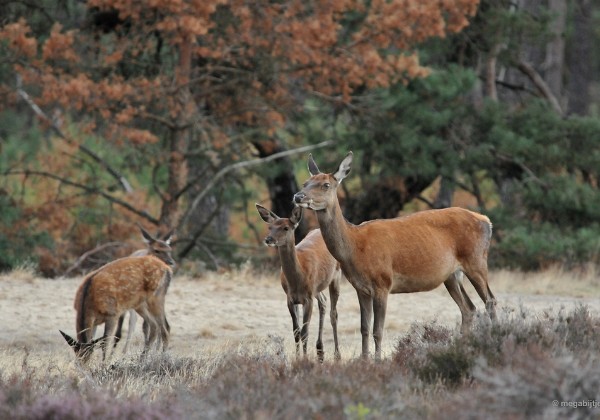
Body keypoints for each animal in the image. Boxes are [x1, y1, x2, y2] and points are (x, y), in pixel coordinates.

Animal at [60, 226, 173, 360]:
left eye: (87, 357)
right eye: (77, 357)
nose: (83, 365)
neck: (89, 301)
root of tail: (167, 269)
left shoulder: (112, 314)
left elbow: (105, 343)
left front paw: (104, 363)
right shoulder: (94, 320)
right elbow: (94, 339)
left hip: (156, 297)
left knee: (165, 328)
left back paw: (161, 358)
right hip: (140, 305)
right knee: (154, 326)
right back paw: (142, 359)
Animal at [256, 203, 342, 360]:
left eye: (286, 227)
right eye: (270, 227)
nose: (268, 239)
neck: (298, 278)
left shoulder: (308, 298)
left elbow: (305, 332)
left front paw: (305, 359)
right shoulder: (291, 298)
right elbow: (296, 331)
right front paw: (297, 358)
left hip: (336, 275)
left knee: (334, 314)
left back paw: (337, 355)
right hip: (316, 288)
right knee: (323, 301)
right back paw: (320, 349)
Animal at [292, 153, 496, 360]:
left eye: (325, 184)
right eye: (305, 182)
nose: (298, 196)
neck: (355, 248)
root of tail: (487, 221)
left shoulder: (383, 283)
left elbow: (377, 330)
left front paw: (378, 361)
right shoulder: (360, 288)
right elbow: (364, 329)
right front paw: (364, 360)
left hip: (476, 260)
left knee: (490, 301)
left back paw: (495, 341)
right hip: (452, 275)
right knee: (469, 309)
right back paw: (464, 348)